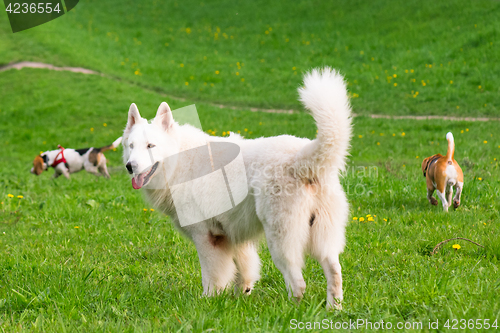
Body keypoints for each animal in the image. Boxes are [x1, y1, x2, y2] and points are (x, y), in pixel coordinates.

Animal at [123, 67, 354, 308]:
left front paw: (208, 300)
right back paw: (333, 308)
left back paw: (290, 309)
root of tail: (301, 159)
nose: (130, 166)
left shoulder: (207, 237)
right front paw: (241, 295)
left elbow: (212, 275)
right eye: (131, 146)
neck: (180, 161)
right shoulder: (234, 237)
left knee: (298, 283)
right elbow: (244, 269)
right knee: (334, 271)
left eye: (151, 146)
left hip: (281, 239)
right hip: (322, 237)